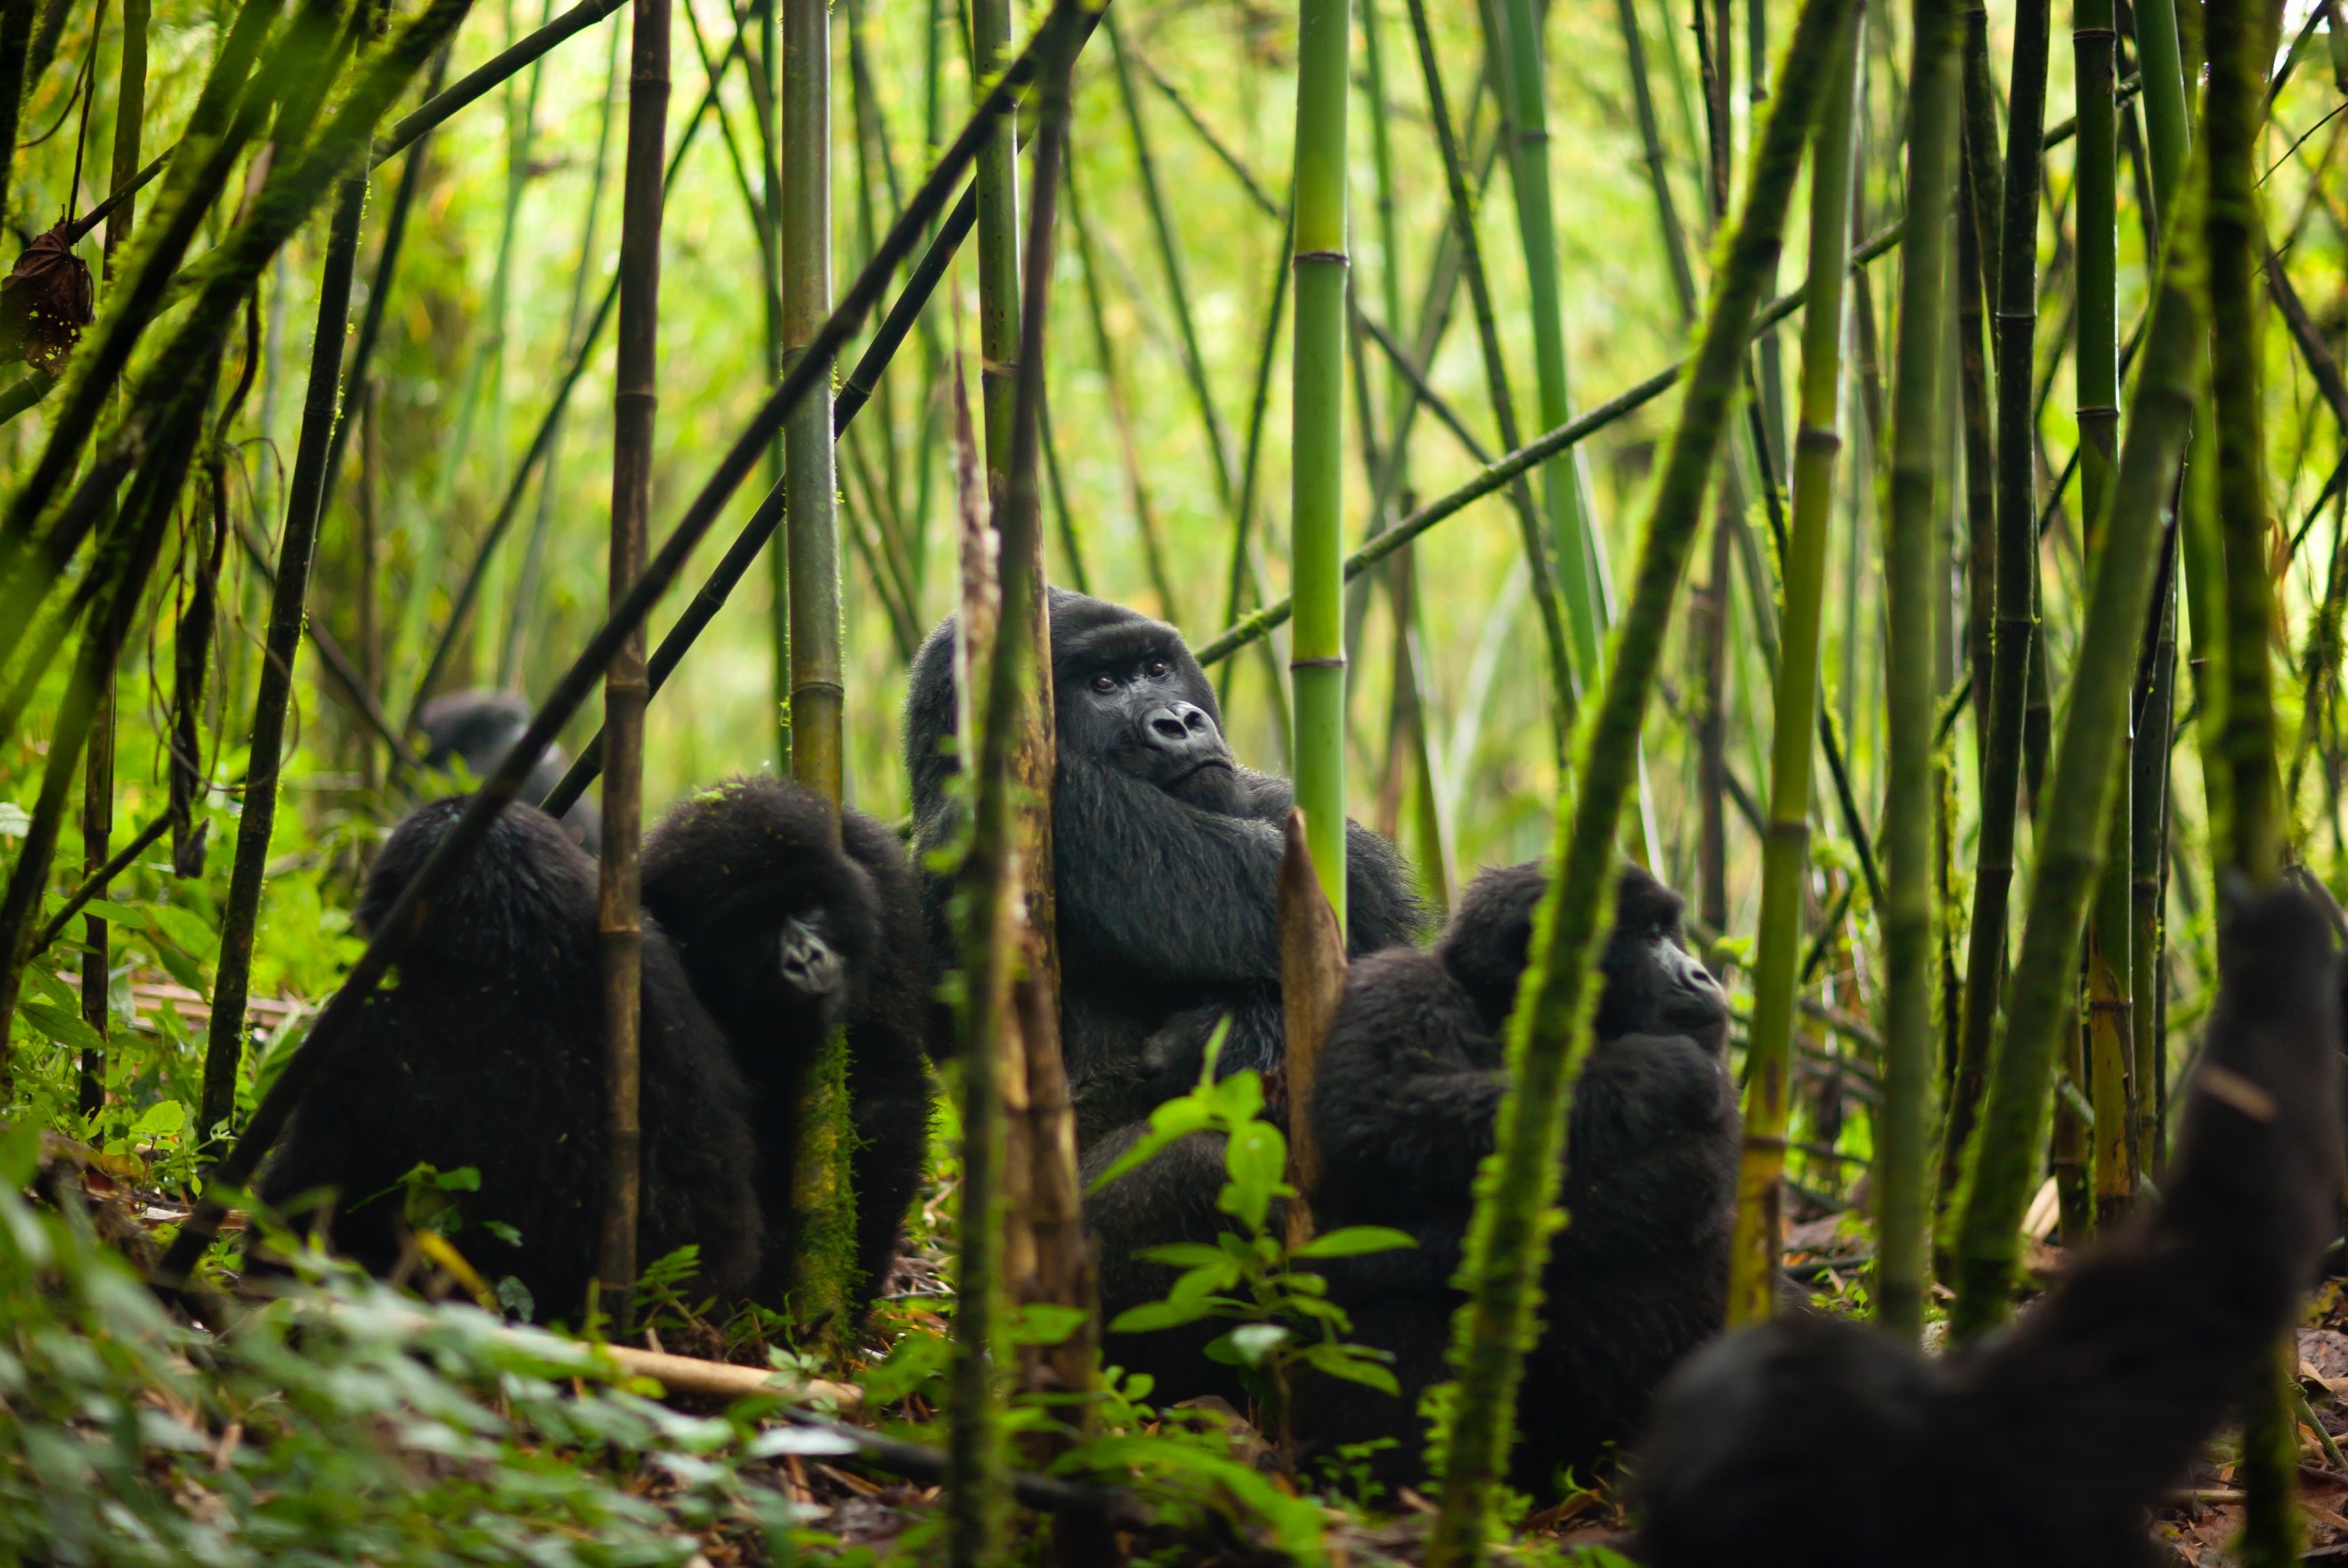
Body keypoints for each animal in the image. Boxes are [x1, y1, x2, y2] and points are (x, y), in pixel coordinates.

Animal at [1296, 858, 1737, 1492]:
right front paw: (1652, 1070)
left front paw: (1377, 1258)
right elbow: (1379, 1112)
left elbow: (1679, 1181)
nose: (1700, 973)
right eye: (1650, 936)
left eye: (1668, 932)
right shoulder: (1396, 981)